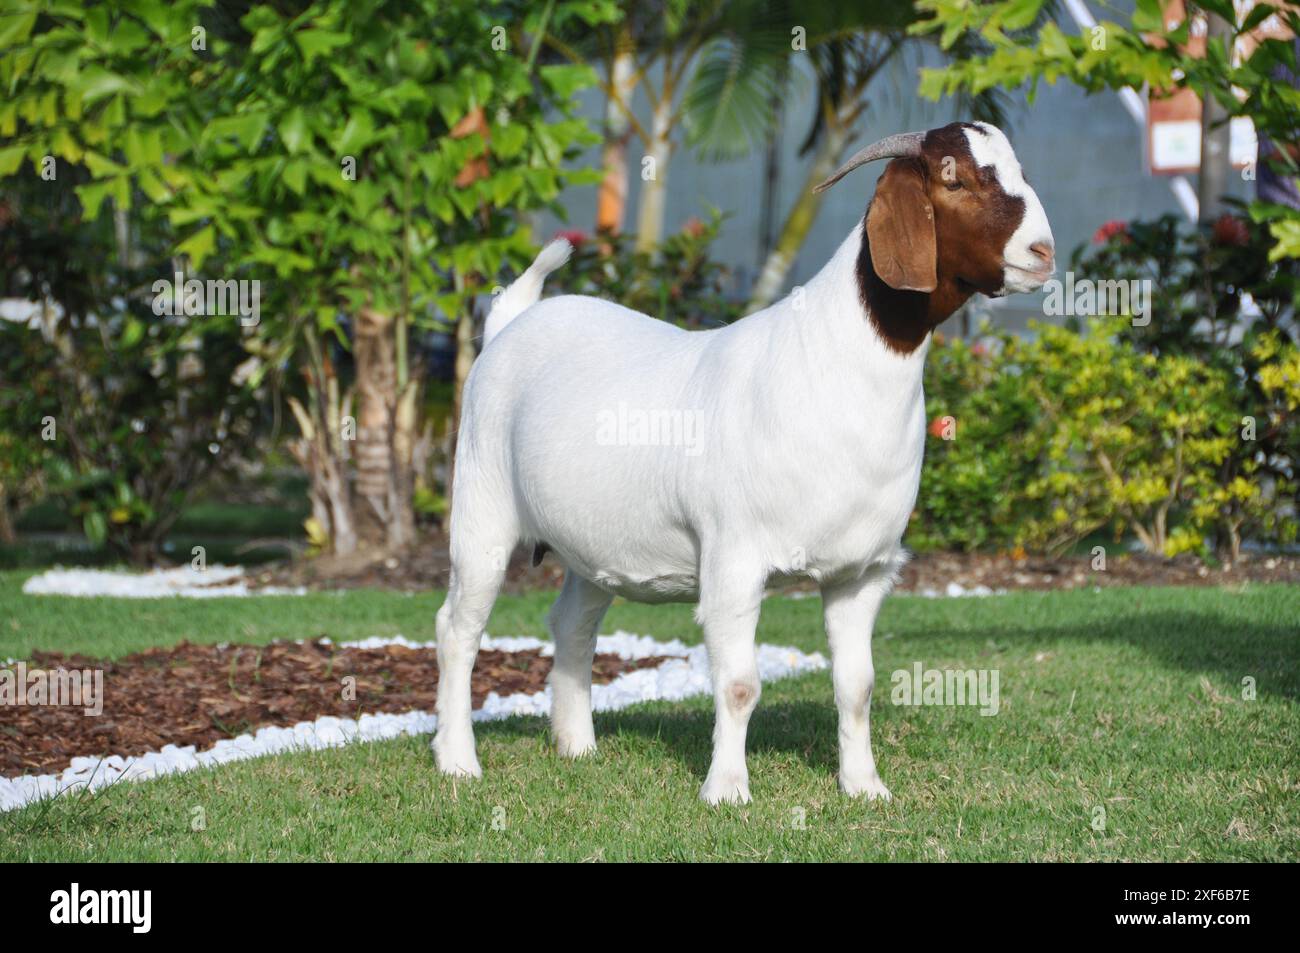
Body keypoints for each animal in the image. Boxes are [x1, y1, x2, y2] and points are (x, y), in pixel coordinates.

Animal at [436, 120, 1055, 800]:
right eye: (953, 179)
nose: (1043, 252)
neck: (833, 364)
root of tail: (507, 326)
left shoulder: (861, 572)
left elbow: (857, 687)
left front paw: (864, 786)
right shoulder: (733, 559)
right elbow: (738, 685)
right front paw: (727, 790)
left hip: (591, 545)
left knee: (572, 622)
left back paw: (577, 746)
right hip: (482, 511)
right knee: (457, 630)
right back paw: (458, 760)